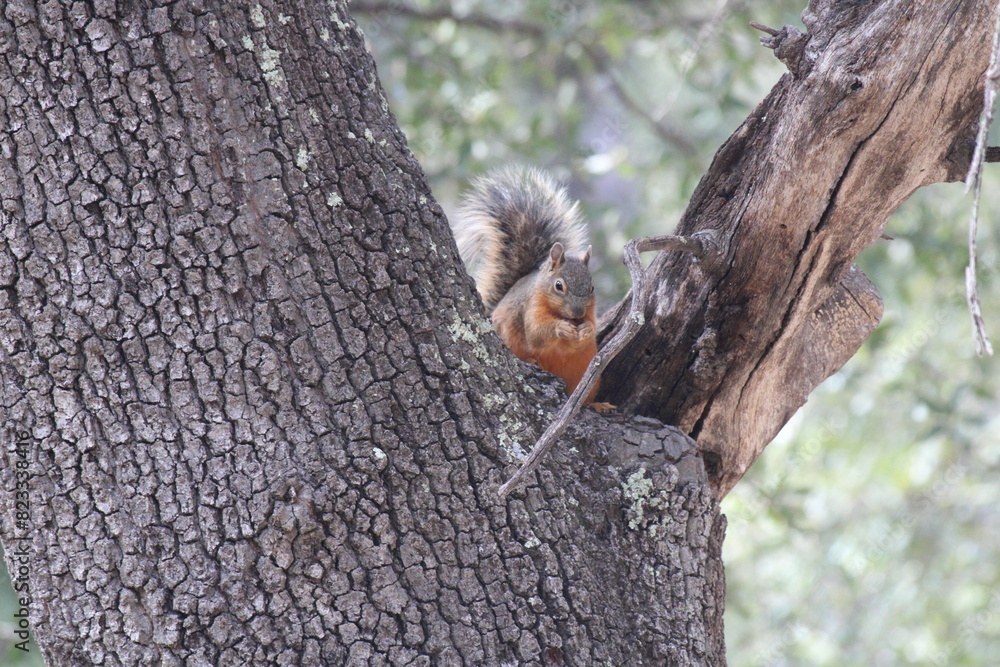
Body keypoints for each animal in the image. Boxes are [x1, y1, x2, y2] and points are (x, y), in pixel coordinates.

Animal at [452, 166, 601, 402]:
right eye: (559, 286)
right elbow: (537, 334)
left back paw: (598, 405)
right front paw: (561, 328)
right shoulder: (531, 307)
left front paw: (586, 328)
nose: (578, 314)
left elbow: (591, 331)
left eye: (591, 288)